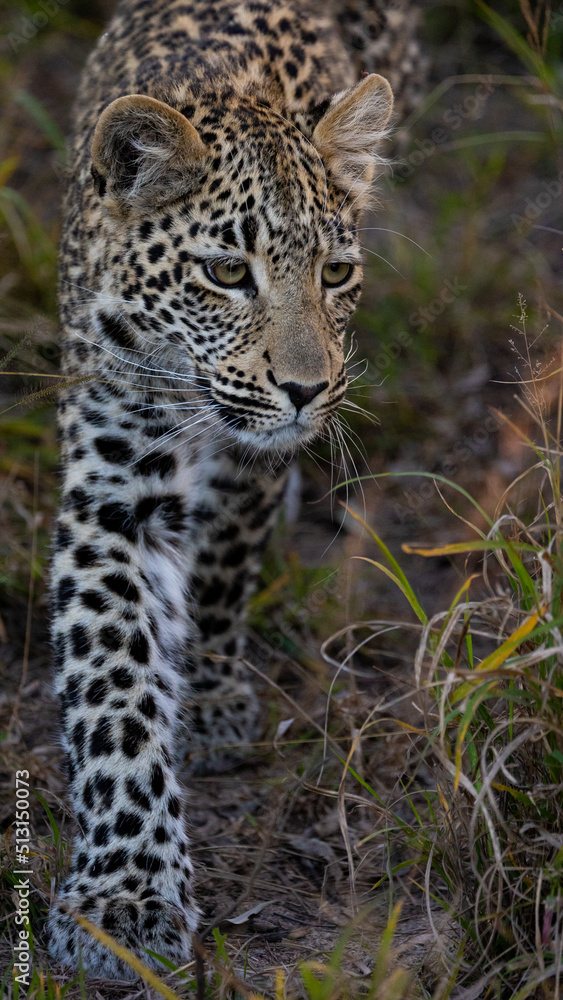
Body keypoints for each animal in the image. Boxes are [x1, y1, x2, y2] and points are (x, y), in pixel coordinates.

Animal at [47, 0, 424, 979]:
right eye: (224, 273)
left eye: (334, 273)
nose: (305, 389)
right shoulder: (110, 492)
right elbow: (113, 688)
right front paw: (125, 894)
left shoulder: (251, 459)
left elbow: (222, 556)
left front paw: (211, 692)